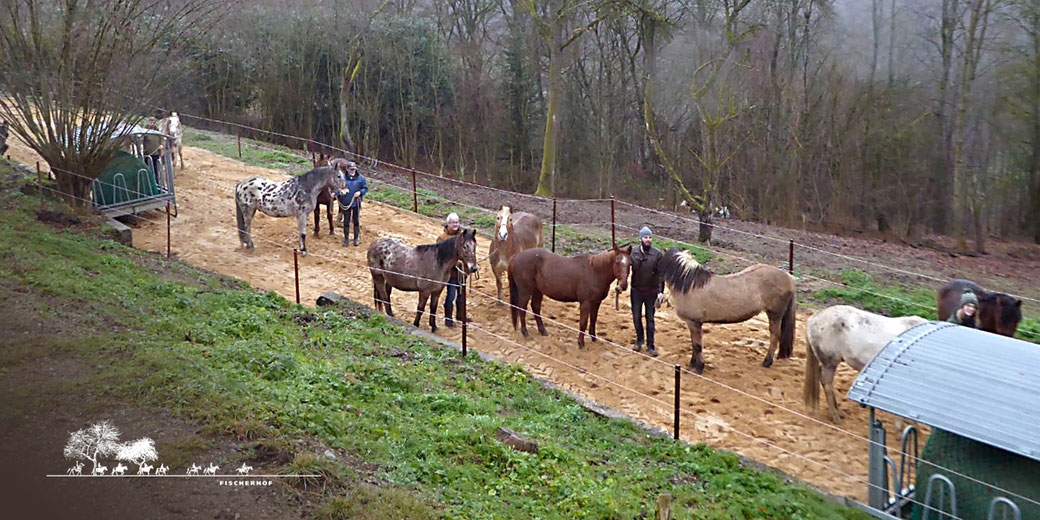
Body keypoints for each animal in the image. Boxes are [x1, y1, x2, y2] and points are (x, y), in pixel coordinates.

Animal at [657, 247, 794, 374]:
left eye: (660, 260)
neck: (691, 286)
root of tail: (789, 277)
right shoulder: (692, 324)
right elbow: (693, 343)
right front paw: (692, 363)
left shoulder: (694, 322)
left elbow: (697, 345)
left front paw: (699, 367)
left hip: (775, 314)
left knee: (774, 336)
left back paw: (767, 361)